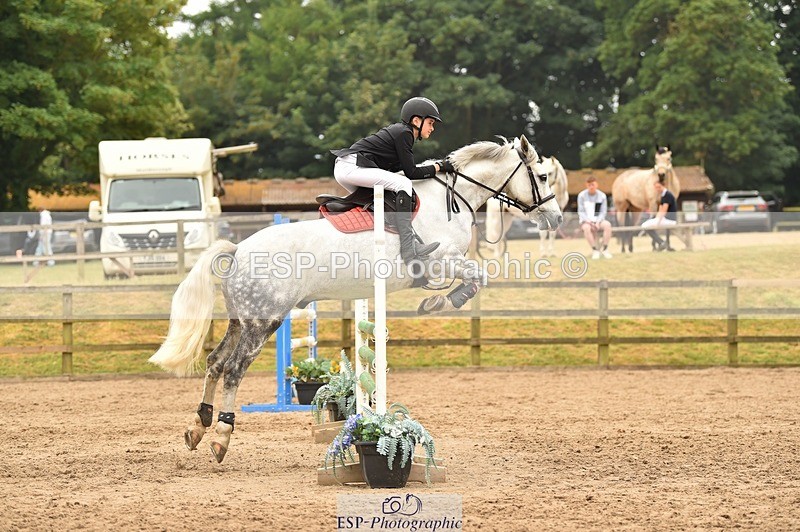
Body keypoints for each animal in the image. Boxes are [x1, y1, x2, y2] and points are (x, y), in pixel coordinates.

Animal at [148, 134, 562, 463]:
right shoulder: (442, 260)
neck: (451, 199)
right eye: (542, 177)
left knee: (215, 363)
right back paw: (221, 435)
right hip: (264, 321)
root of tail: (237, 249)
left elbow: (478, 278)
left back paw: (198, 426)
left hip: (241, 319)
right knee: (234, 369)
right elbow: (477, 277)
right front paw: (439, 303)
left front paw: (437, 302)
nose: (557, 219)